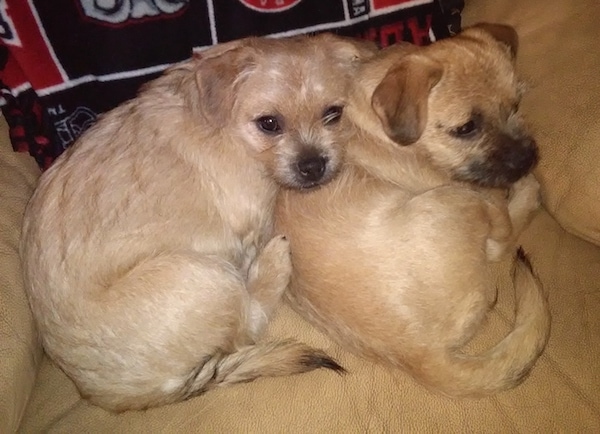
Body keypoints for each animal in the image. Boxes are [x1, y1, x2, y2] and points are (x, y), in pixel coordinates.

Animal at [21, 34, 378, 410]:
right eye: (269, 124)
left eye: (333, 114)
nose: (313, 166)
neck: (229, 126)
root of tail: (121, 395)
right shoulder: (251, 215)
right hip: (204, 275)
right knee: (246, 327)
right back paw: (273, 263)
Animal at [276, 23, 552, 396]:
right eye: (466, 128)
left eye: (517, 104)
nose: (527, 159)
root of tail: (421, 356)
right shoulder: (465, 186)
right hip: (457, 200)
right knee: (501, 240)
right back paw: (527, 192)